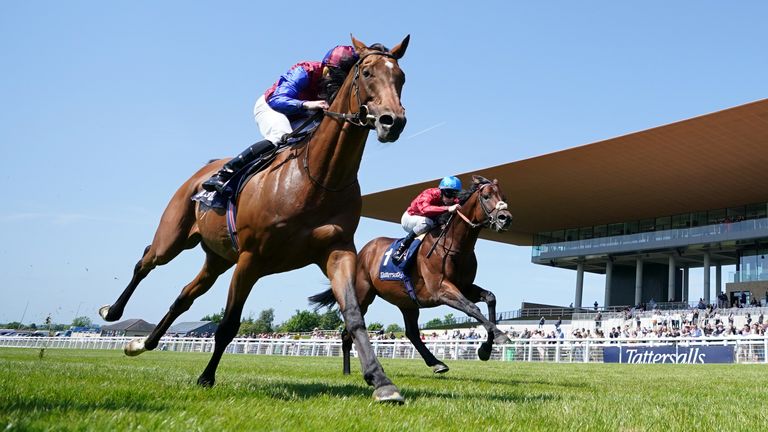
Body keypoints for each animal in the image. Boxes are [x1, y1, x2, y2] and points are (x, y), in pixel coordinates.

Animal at [100, 35, 412, 404]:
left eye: (401, 77)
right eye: (366, 73)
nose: (393, 121)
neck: (319, 176)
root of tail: (201, 172)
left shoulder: (337, 251)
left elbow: (353, 316)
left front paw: (382, 382)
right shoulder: (251, 258)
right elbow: (228, 325)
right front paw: (206, 377)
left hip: (217, 259)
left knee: (185, 295)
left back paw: (141, 343)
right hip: (174, 238)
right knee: (146, 260)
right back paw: (113, 312)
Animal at [308, 176, 512, 374]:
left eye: (504, 197)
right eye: (486, 196)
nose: (505, 218)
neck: (454, 245)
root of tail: (361, 253)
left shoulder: (465, 286)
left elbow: (490, 298)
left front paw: (486, 349)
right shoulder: (440, 288)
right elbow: (471, 308)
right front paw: (500, 336)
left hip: (407, 302)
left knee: (412, 333)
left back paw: (437, 363)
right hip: (363, 294)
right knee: (347, 333)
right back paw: (347, 372)